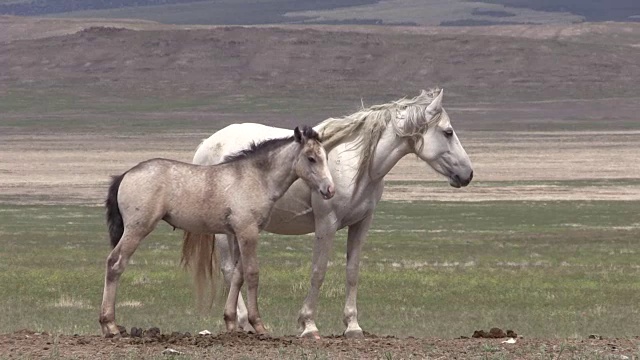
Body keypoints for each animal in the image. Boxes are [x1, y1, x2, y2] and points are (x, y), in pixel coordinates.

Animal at [182, 88, 472, 338]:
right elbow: (318, 271)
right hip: (225, 232)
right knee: (230, 270)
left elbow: (352, 271)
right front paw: (308, 325)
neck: (357, 166)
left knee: (236, 272)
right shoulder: (326, 224)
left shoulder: (362, 223)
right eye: (448, 132)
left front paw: (353, 325)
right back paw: (242, 322)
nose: (468, 174)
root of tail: (207, 144)